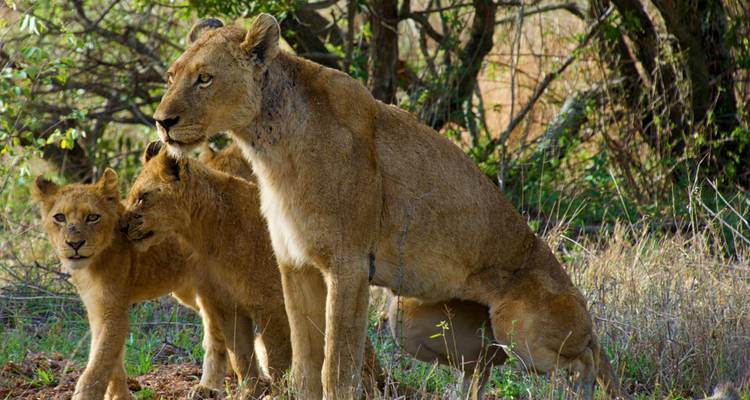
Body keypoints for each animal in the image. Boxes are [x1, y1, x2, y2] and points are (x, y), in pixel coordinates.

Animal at [150, 14, 620, 399]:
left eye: (205, 78)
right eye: (172, 76)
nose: (162, 122)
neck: (268, 144)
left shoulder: (349, 265)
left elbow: (337, 367)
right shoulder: (295, 266)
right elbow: (304, 366)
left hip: (520, 329)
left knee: (585, 360)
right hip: (407, 318)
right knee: (484, 364)